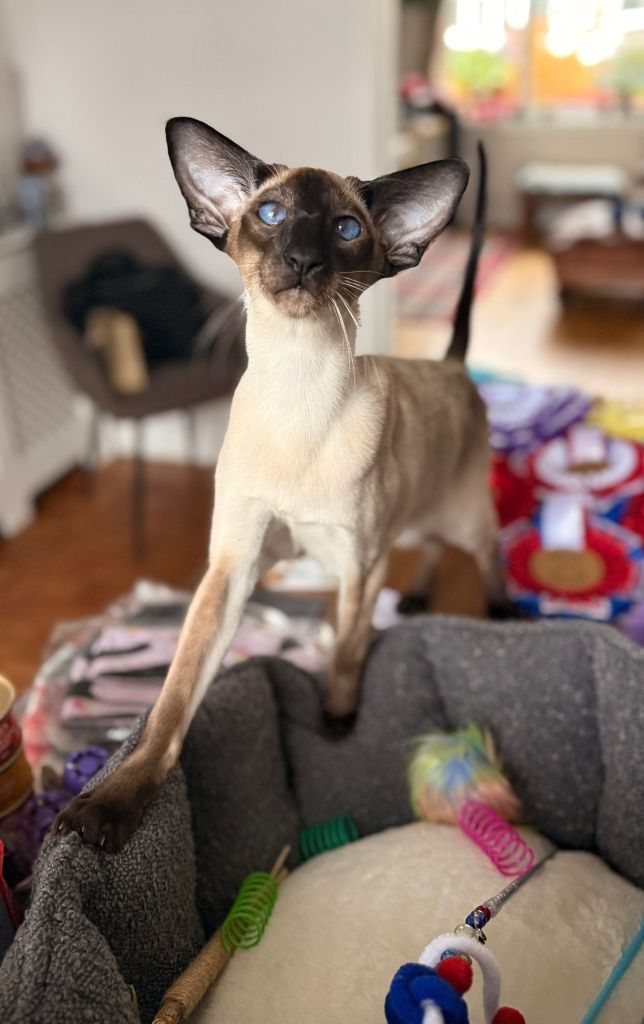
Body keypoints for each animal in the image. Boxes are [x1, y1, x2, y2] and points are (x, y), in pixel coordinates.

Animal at [56, 118, 499, 851]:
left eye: (345, 229)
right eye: (271, 215)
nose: (301, 261)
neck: (297, 384)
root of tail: (453, 366)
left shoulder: (358, 563)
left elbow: (346, 653)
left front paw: (338, 718)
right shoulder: (233, 568)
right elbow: (171, 704)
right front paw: (112, 806)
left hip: (458, 518)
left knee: (487, 556)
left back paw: (504, 614)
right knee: (427, 547)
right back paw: (419, 597)